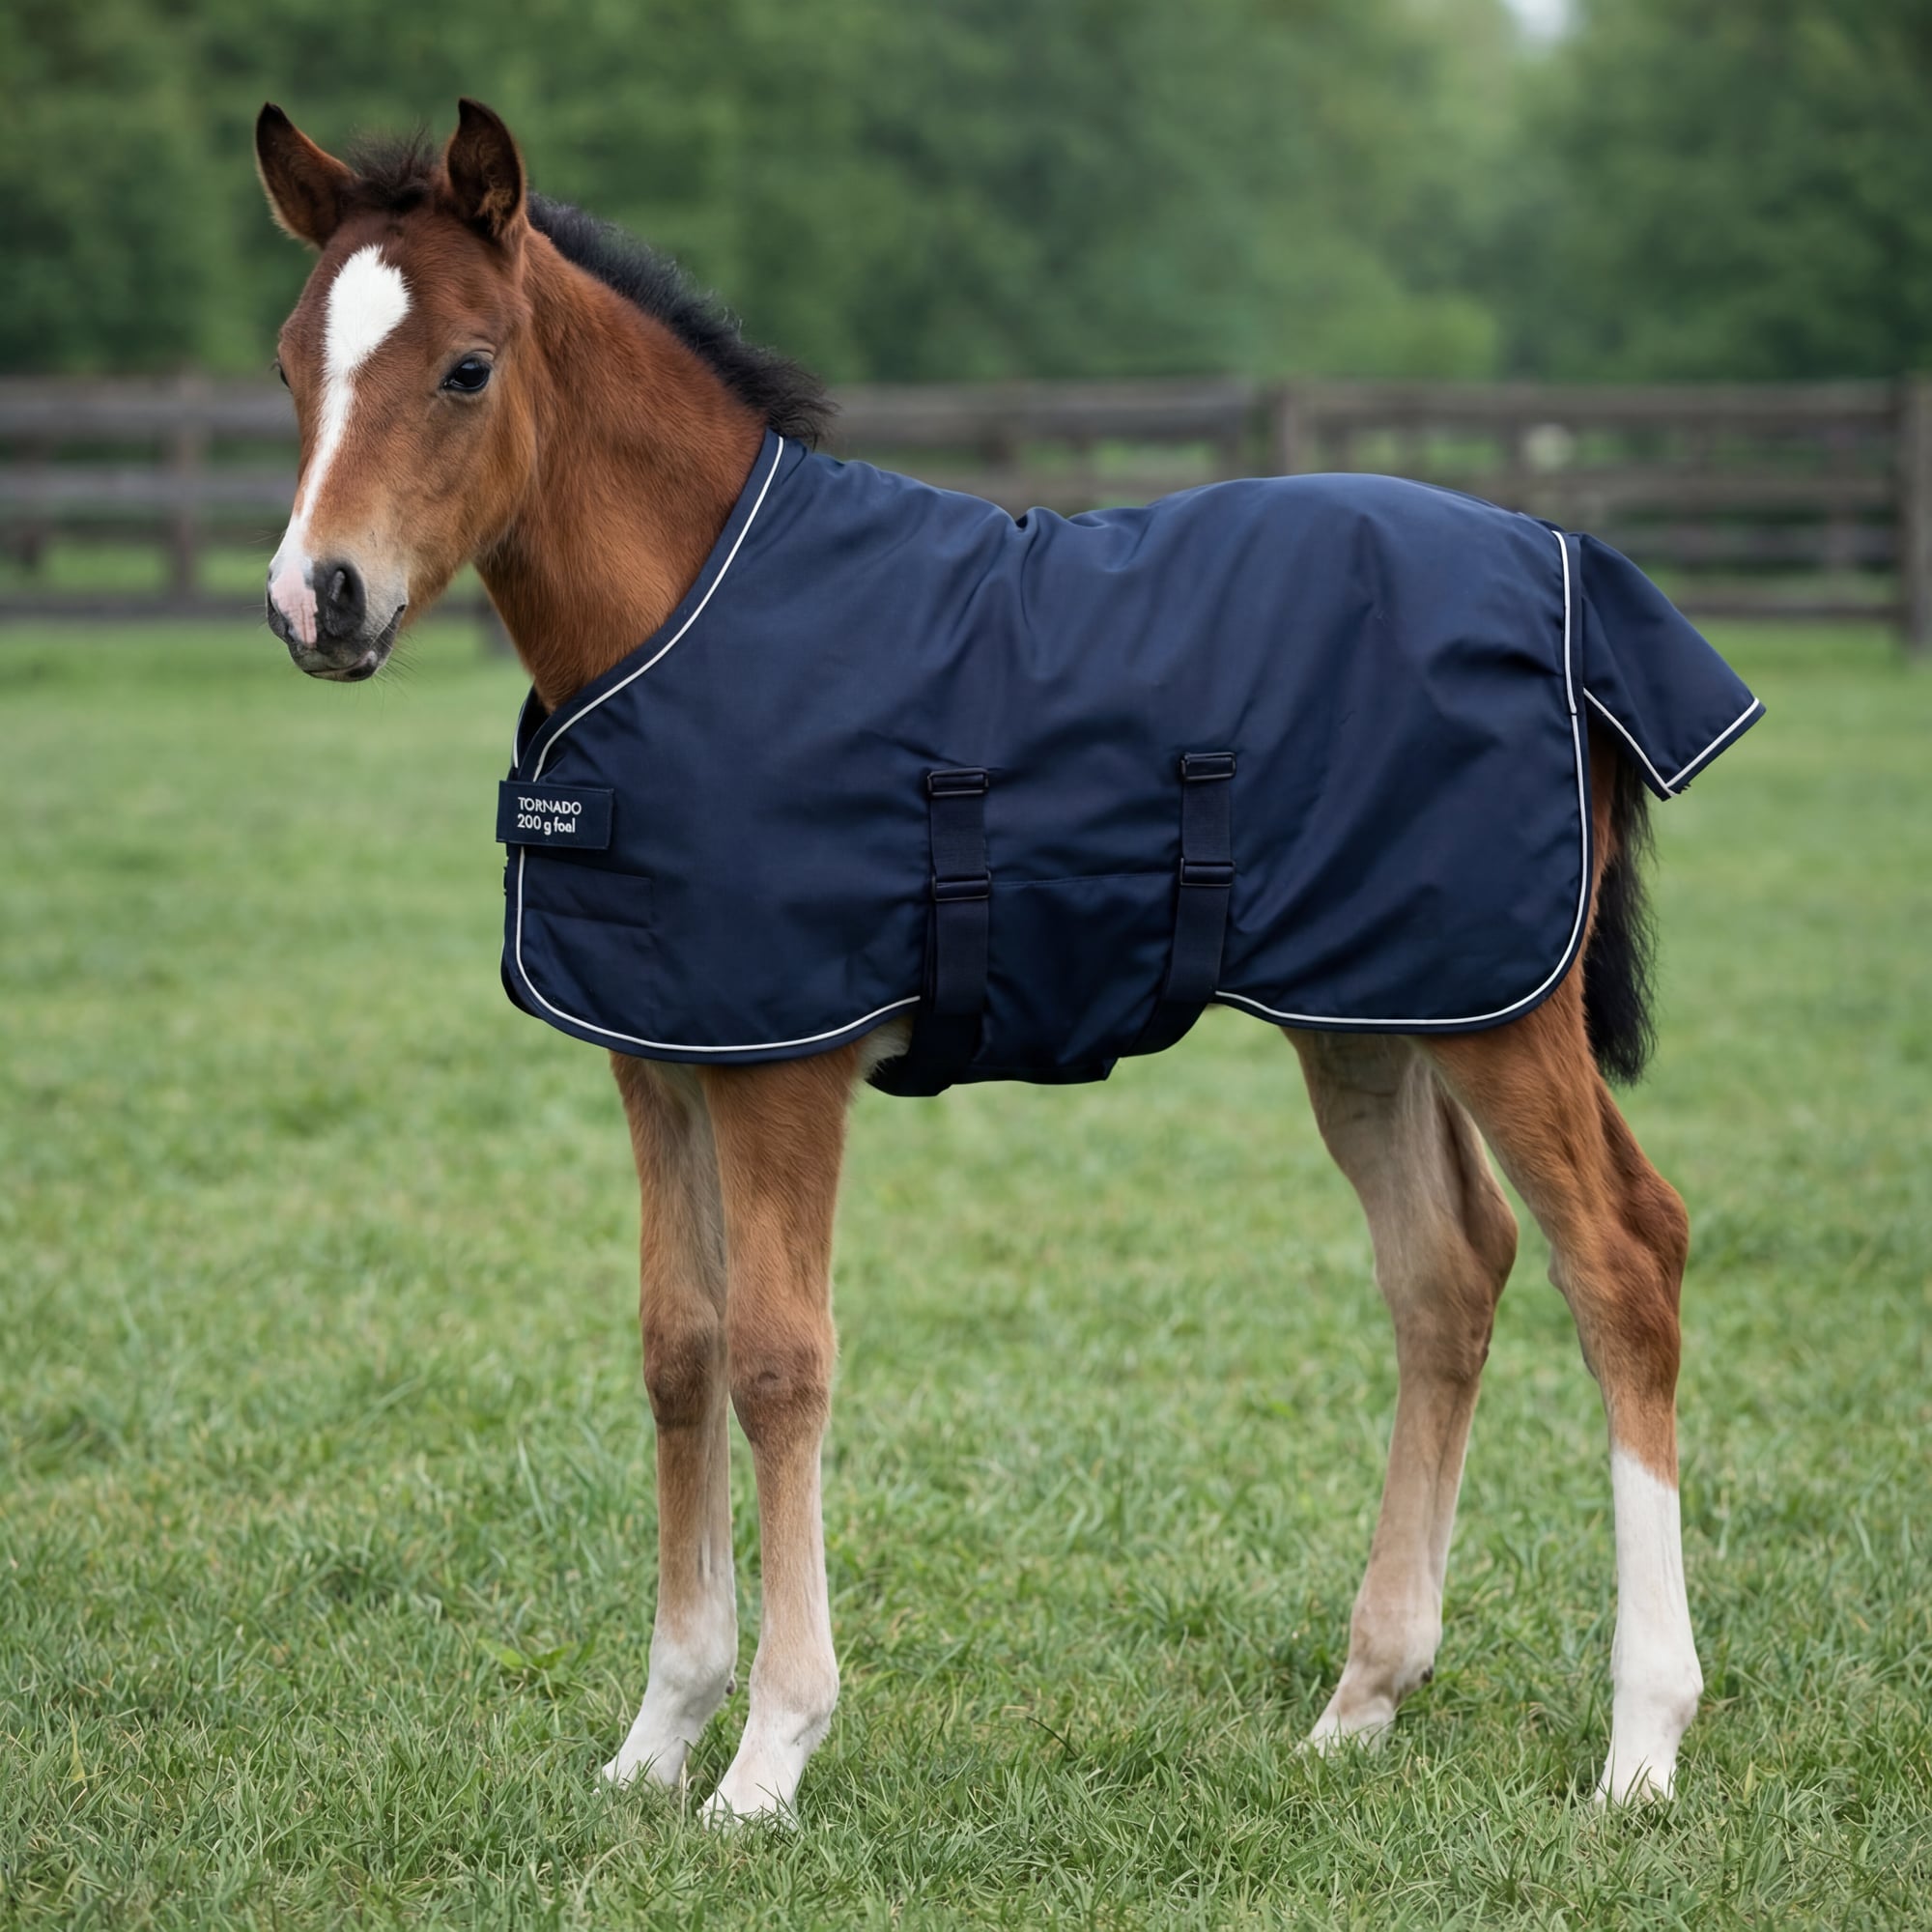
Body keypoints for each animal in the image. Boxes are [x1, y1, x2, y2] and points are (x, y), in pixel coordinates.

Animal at [255, 97, 1721, 1821]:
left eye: (468, 368)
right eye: (288, 365)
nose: (316, 599)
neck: (690, 617)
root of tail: (1575, 570)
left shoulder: (786, 1068)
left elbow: (777, 1362)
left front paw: (768, 1756)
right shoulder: (663, 1055)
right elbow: (679, 1349)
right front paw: (656, 1738)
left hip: (1506, 1007)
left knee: (1620, 1255)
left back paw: (1641, 1742)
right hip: (1375, 1010)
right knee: (1449, 1270)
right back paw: (1363, 1700)